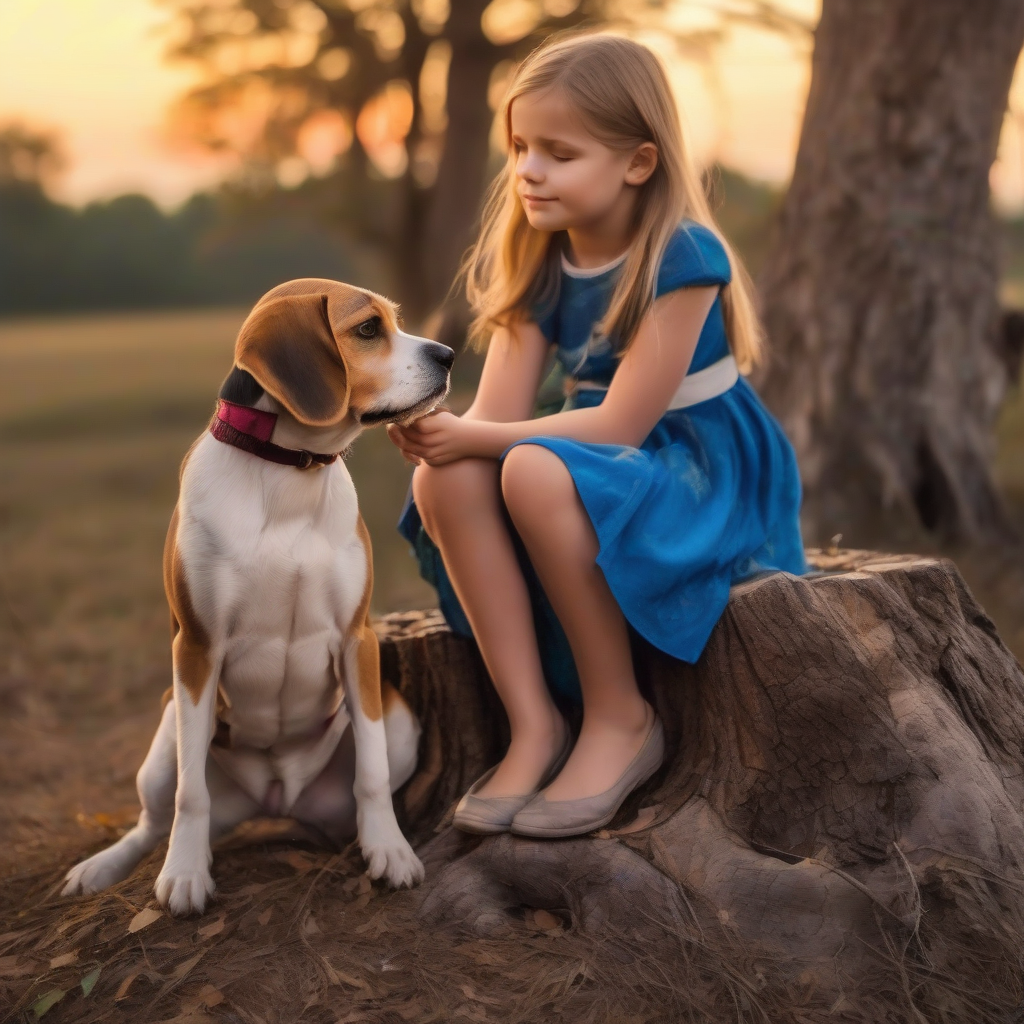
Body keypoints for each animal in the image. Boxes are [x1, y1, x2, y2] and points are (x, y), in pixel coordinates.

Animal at [60, 278, 452, 913]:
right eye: (369, 329)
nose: (448, 355)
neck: (291, 471)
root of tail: (276, 797)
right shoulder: (197, 648)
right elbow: (190, 797)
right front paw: (185, 875)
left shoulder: (358, 640)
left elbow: (370, 777)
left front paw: (390, 850)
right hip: (166, 734)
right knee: (154, 819)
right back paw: (104, 867)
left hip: (397, 721)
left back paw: (359, 841)